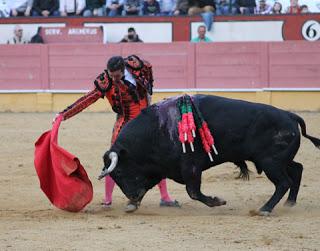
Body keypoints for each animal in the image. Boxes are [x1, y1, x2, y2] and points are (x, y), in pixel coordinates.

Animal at [99, 95, 318, 215]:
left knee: (283, 182)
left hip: (271, 162)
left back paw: (265, 209)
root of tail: (290, 115)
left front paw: (217, 201)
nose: (132, 196)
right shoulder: (162, 168)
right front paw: (132, 204)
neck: (155, 130)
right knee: (297, 169)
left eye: (119, 173)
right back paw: (289, 203)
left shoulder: (191, 167)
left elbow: (193, 192)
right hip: (279, 160)